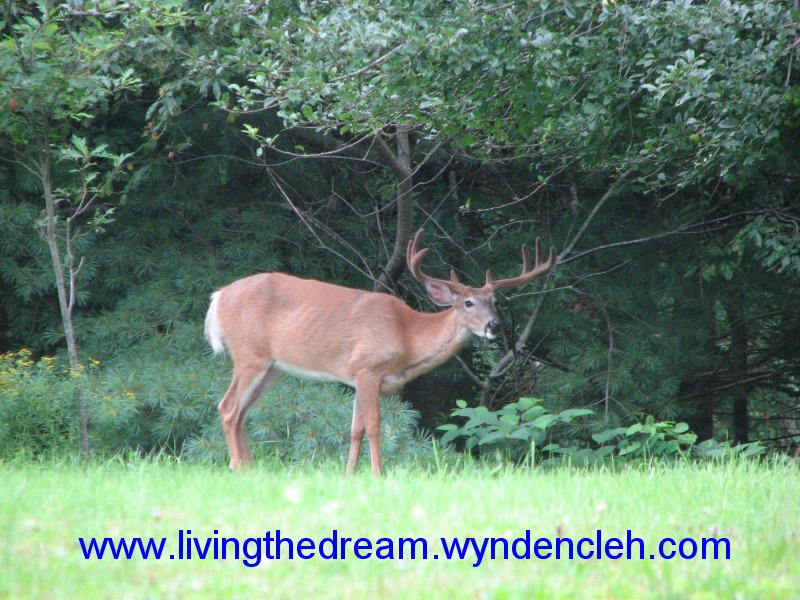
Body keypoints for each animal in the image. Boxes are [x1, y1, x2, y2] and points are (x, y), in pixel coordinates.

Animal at [206, 229, 556, 474]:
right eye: (468, 302)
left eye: (494, 302)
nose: (494, 325)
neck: (407, 337)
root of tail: (218, 297)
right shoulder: (367, 367)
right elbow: (374, 425)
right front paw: (377, 472)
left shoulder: (361, 378)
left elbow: (355, 428)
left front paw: (349, 473)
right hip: (250, 354)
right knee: (228, 407)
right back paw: (237, 466)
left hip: (273, 367)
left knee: (242, 412)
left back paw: (250, 467)